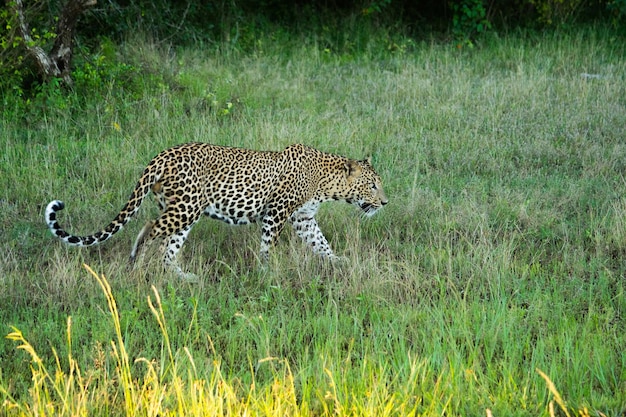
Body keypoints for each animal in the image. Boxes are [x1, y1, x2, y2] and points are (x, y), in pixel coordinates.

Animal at [45, 142, 386, 276]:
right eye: (372, 185)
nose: (385, 202)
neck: (326, 182)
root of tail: (160, 156)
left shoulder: (303, 219)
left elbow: (321, 243)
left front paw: (339, 262)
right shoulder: (276, 213)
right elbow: (268, 245)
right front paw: (267, 271)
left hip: (182, 212)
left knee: (169, 250)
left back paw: (185, 278)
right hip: (185, 208)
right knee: (149, 229)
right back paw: (137, 263)